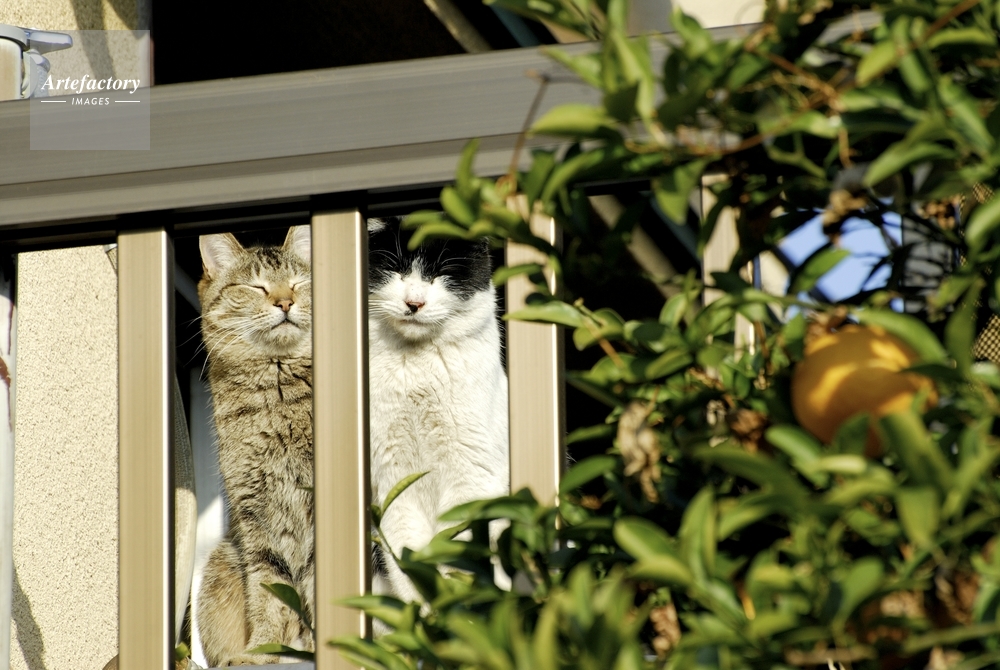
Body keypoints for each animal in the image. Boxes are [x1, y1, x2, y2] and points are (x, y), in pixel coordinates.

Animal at [196, 226, 314, 666]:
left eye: (297, 283)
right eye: (256, 286)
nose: (285, 301)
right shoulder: (255, 516)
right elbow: (270, 592)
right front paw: (263, 650)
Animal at [367, 217, 510, 606]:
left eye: (440, 274)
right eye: (396, 267)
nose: (414, 302)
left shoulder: (471, 476)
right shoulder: (392, 479)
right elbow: (406, 559)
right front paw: (424, 614)